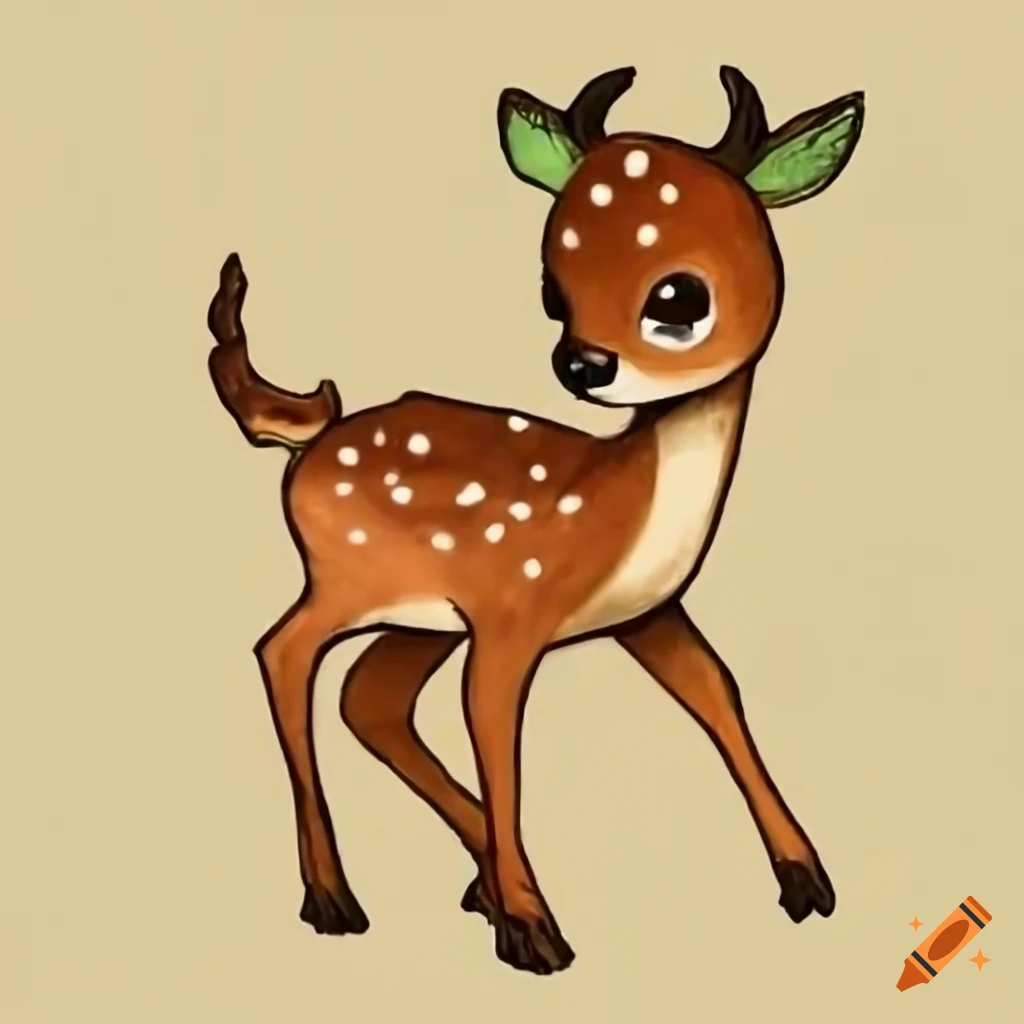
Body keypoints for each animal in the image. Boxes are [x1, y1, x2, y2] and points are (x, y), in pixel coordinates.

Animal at [206, 64, 865, 975]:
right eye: (553, 286)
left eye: (678, 297)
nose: (581, 363)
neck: (615, 503)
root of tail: (313, 436)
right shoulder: (511, 612)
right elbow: (499, 743)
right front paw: (532, 930)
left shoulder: (647, 611)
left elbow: (718, 692)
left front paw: (805, 876)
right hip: (348, 577)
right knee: (284, 653)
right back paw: (337, 898)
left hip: (420, 617)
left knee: (368, 698)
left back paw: (470, 878)